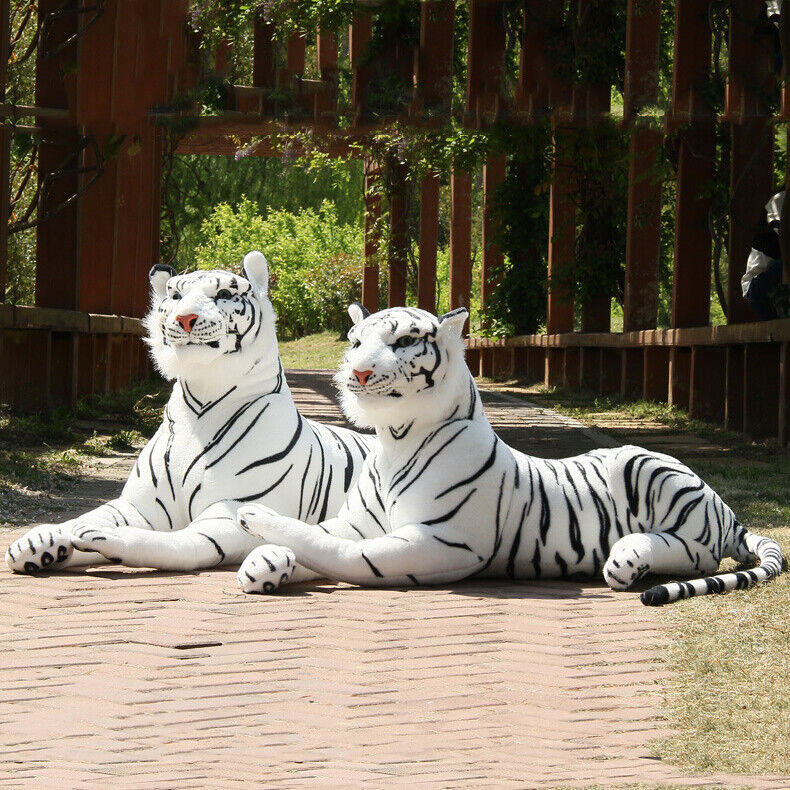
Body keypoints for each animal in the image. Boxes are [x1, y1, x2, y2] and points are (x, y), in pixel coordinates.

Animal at [5, 252, 374, 589]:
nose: (184, 318)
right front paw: (41, 540)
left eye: (223, 294)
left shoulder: (230, 512)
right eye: (175, 296)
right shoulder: (139, 506)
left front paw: (101, 536)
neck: (199, 402)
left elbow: (179, 543)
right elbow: (93, 514)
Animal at [234, 303, 783, 605]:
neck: (392, 439)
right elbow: (319, 536)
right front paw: (266, 561)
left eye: (405, 341)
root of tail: (727, 510)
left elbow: (339, 551)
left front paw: (255, 519)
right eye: (355, 342)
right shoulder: (357, 522)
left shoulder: (441, 542)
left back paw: (628, 558)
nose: (359, 372)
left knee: (697, 551)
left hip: (646, 465)